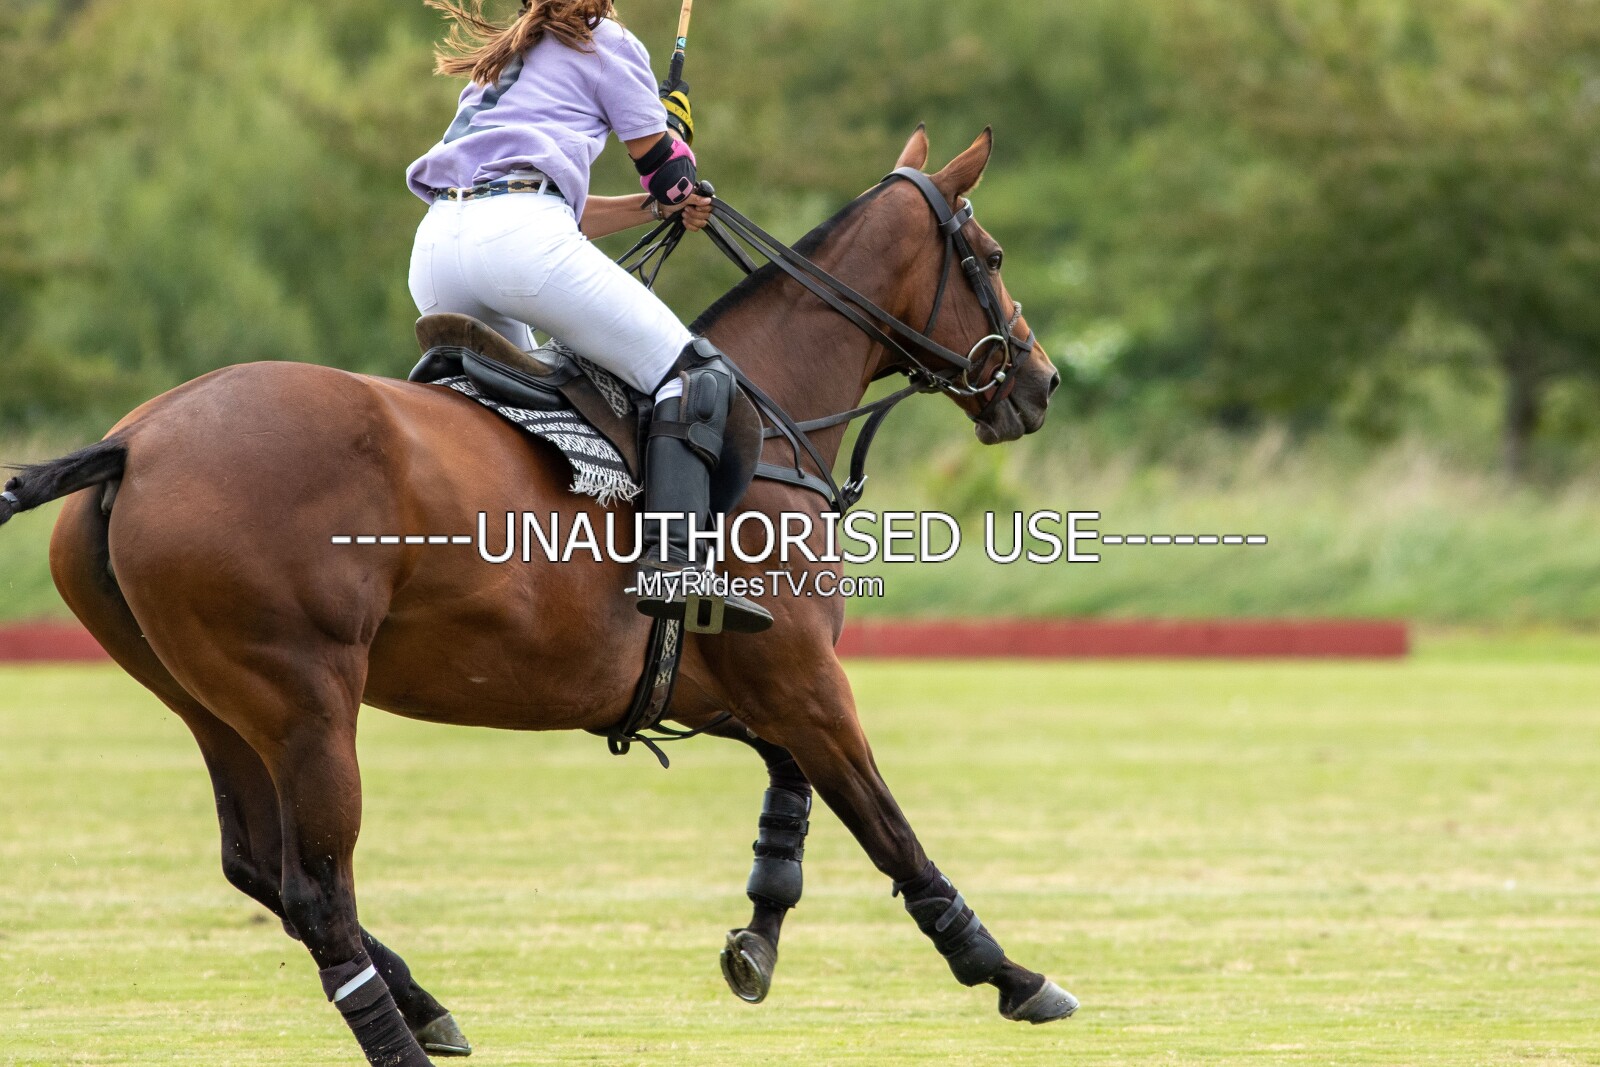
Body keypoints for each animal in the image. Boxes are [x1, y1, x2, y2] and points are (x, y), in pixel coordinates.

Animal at [0, 127, 1070, 1065]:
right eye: (991, 253)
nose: (1041, 381)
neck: (773, 416)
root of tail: (131, 442)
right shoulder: (802, 675)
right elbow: (886, 823)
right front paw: (1008, 972)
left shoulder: (730, 684)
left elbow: (794, 788)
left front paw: (758, 936)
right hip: (305, 703)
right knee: (315, 890)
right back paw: (404, 1035)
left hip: (211, 705)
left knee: (257, 864)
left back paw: (426, 1004)